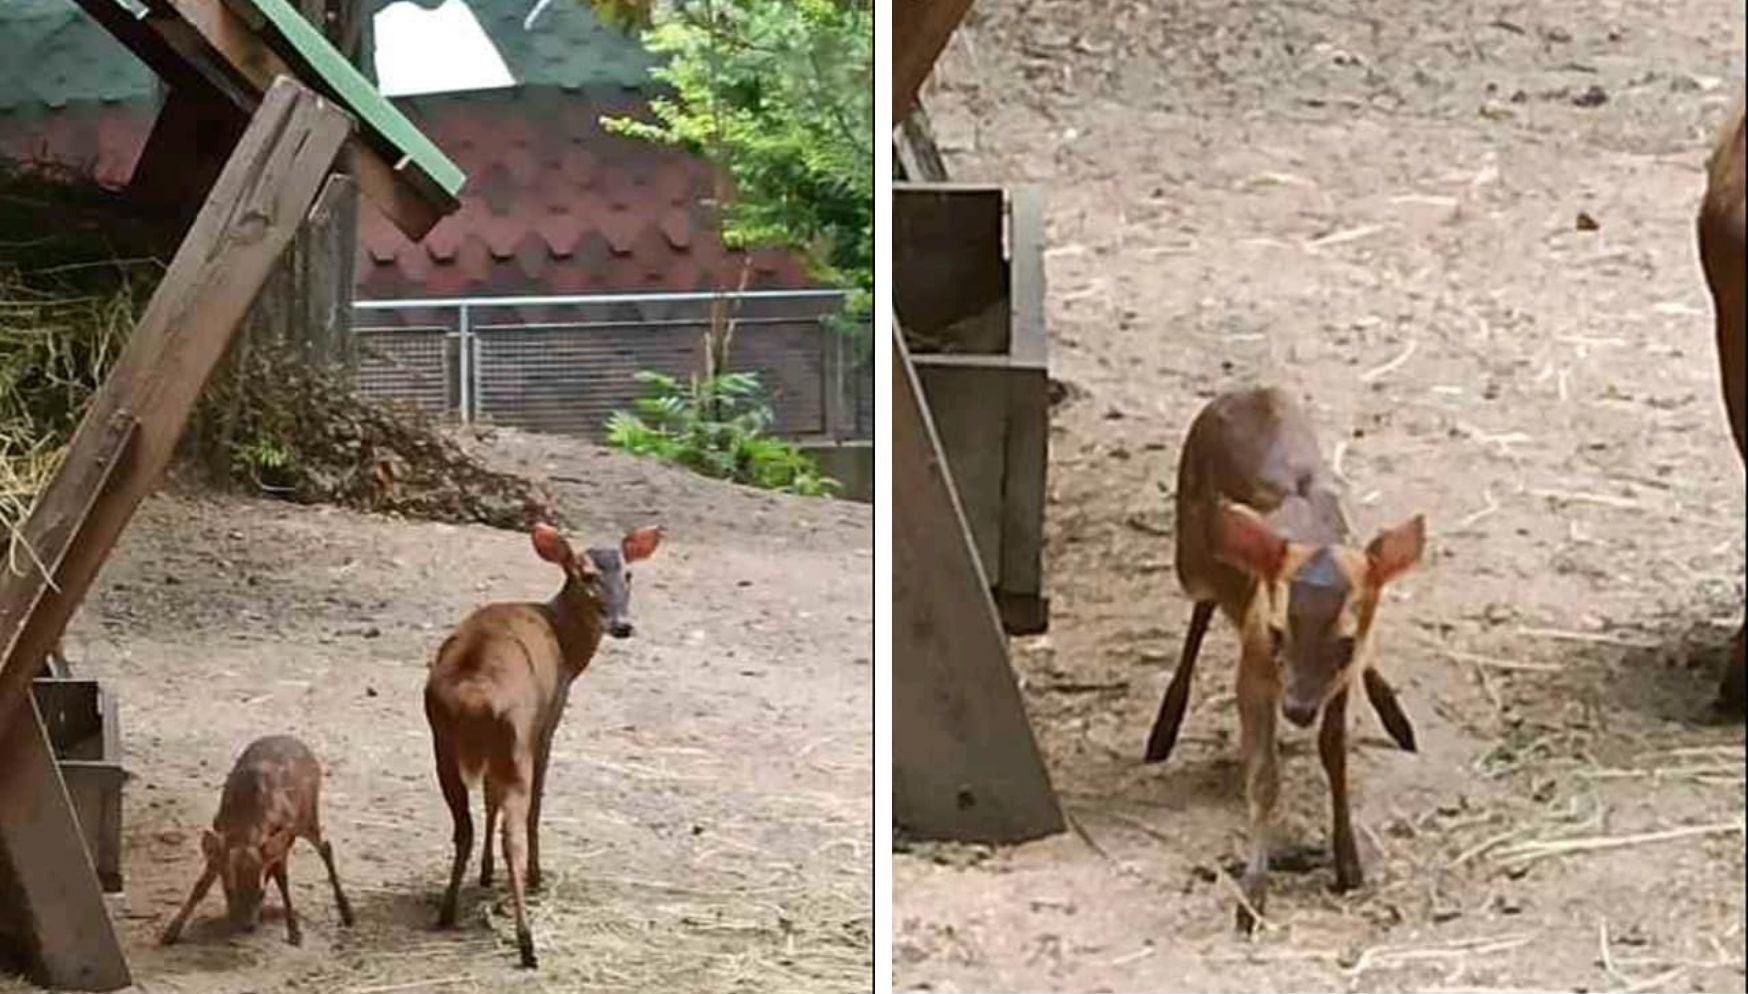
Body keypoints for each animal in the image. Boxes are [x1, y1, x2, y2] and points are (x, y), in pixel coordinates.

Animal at [160, 737, 354, 943]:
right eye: (229, 890)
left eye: (261, 894)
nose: (247, 926)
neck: (247, 819)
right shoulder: (222, 836)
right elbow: (200, 886)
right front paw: (170, 932)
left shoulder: (282, 834)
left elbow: (283, 881)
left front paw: (294, 932)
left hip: (307, 816)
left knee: (325, 847)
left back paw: (347, 913)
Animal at [426, 524, 664, 964]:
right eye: (586, 575)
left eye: (628, 574)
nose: (623, 625)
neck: (566, 645)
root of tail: (472, 695)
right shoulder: (546, 724)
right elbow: (536, 803)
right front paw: (534, 876)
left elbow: (490, 800)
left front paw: (484, 875)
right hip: (515, 738)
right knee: (514, 834)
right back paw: (526, 940)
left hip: (443, 745)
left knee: (463, 826)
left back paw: (447, 911)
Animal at [1146, 384, 1419, 929]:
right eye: (1276, 632)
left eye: (1345, 642)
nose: (1297, 709)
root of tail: (1245, 389)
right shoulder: (1252, 667)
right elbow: (1263, 773)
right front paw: (1252, 895)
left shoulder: (1338, 681)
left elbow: (1335, 753)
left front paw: (1348, 863)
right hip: (1190, 556)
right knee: (1201, 608)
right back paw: (1163, 728)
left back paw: (1395, 715)